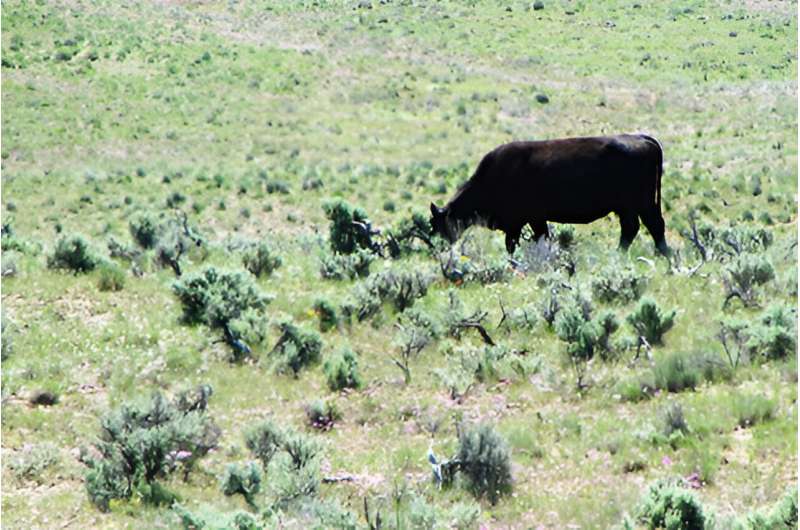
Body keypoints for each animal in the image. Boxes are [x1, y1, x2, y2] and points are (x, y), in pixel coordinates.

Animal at [432, 133, 668, 255]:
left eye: (439, 224)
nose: (440, 246)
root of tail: (643, 139)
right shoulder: (534, 220)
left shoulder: (521, 221)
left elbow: (514, 243)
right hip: (630, 207)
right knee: (636, 228)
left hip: (639, 203)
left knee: (649, 226)